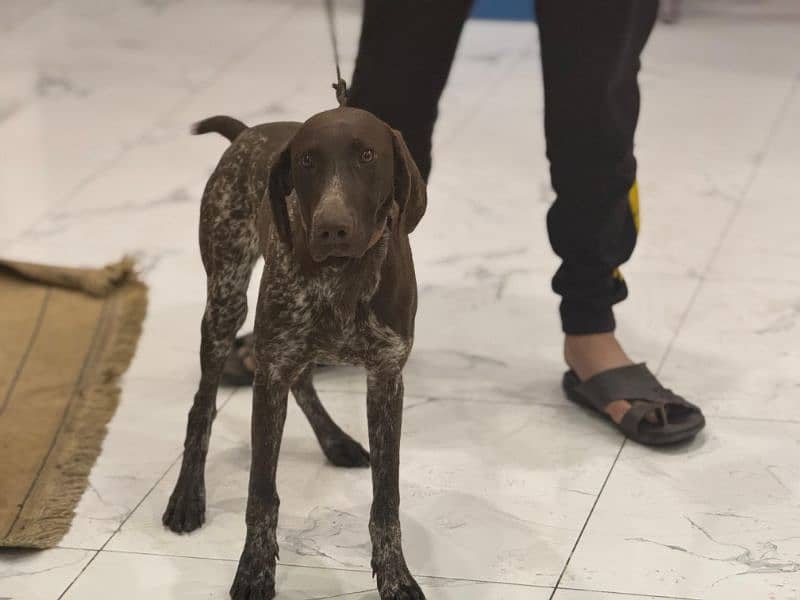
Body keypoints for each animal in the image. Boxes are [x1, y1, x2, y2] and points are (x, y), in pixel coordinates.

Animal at [161, 109, 424, 600]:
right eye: (306, 160)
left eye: (367, 155)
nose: (331, 229)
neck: (341, 277)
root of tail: (248, 131)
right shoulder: (270, 373)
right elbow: (261, 494)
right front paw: (254, 570)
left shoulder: (385, 378)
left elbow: (386, 499)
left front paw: (395, 575)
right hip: (226, 302)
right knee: (202, 409)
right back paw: (187, 495)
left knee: (302, 381)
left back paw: (336, 441)